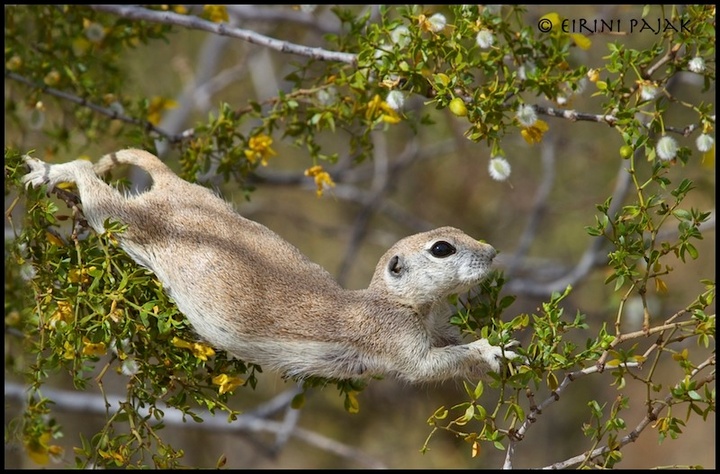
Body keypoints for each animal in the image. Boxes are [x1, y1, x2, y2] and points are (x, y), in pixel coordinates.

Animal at [22, 149, 520, 383]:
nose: (493, 251)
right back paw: (50, 172)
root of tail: (171, 185)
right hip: (123, 222)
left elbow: (448, 343)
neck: (402, 303)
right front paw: (490, 350)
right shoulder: (394, 337)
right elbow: (427, 367)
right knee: (90, 178)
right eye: (442, 248)